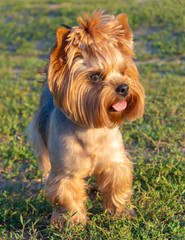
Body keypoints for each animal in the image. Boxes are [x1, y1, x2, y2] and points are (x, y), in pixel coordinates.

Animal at [28, 10, 145, 226]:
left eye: (123, 71)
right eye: (95, 77)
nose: (124, 88)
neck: (92, 128)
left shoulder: (115, 162)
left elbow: (117, 186)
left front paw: (121, 213)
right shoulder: (65, 173)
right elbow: (67, 197)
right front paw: (72, 222)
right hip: (40, 138)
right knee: (45, 165)